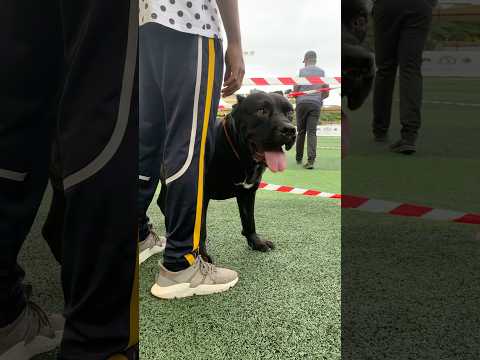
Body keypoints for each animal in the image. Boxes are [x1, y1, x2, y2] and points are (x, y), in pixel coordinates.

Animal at [160, 93, 296, 262]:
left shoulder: (248, 192)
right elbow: (201, 228)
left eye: (290, 112)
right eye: (261, 110)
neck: (240, 155)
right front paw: (202, 255)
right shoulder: (201, 194)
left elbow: (249, 220)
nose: (290, 130)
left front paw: (256, 242)